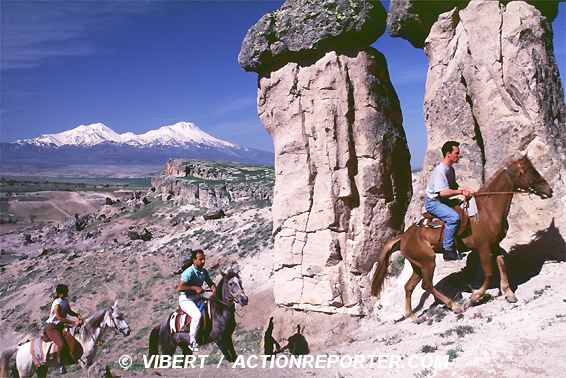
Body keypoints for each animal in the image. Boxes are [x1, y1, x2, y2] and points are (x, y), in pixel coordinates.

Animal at [372, 155, 556, 320]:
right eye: (530, 172)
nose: (549, 190)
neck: (487, 210)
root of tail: (403, 237)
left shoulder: (494, 244)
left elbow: (502, 265)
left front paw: (508, 293)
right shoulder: (483, 247)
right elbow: (489, 273)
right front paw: (474, 298)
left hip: (418, 265)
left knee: (409, 287)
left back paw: (413, 317)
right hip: (428, 262)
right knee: (426, 285)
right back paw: (454, 306)